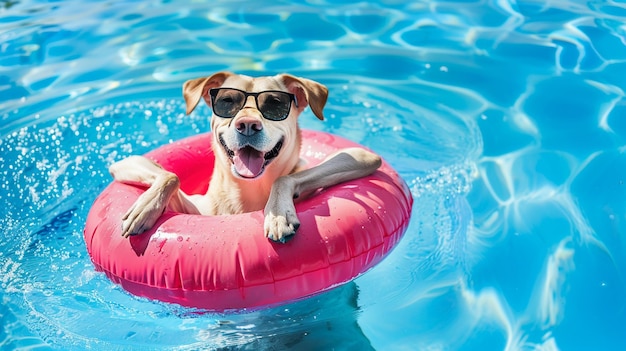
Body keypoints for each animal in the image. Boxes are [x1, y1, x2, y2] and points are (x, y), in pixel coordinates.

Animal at [108, 71, 380, 242]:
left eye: (275, 104)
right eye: (227, 101)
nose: (247, 125)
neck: (247, 190)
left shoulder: (361, 156)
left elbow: (283, 178)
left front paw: (278, 213)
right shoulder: (126, 163)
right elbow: (169, 174)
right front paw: (143, 208)